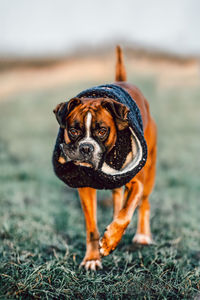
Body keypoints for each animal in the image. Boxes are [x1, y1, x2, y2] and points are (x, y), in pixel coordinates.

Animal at [52, 45, 157, 270]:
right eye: (74, 130)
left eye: (102, 131)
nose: (86, 147)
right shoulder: (85, 187)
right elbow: (92, 228)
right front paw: (92, 258)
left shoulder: (137, 182)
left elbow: (127, 213)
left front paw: (109, 241)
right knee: (118, 196)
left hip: (149, 172)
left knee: (143, 203)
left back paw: (142, 235)